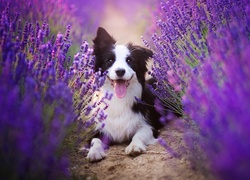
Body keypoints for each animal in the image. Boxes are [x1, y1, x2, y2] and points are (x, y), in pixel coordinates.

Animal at [86, 27, 168, 162]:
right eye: (110, 60)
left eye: (129, 60)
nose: (120, 71)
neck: (119, 99)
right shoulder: (98, 129)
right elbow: (95, 140)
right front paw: (94, 152)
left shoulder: (149, 125)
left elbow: (139, 134)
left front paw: (134, 146)